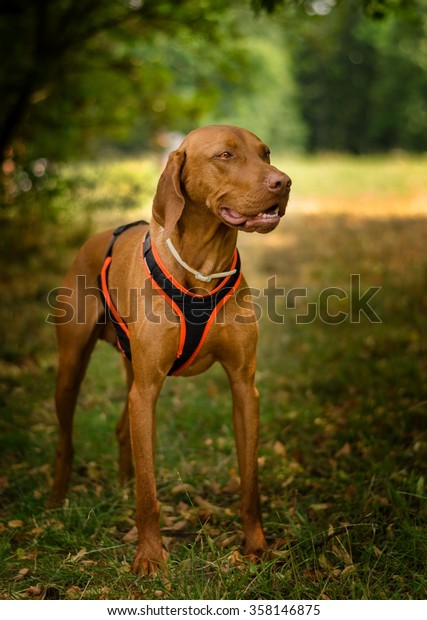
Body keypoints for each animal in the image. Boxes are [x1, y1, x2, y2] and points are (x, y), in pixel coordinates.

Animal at [50, 123, 290, 572]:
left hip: (131, 369)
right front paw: (148, 557)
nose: (283, 182)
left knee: (122, 430)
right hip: (71, 368)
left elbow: (250, 482)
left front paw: (256, 546)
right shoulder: (146, 392)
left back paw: (120, 488)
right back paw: (57, 501)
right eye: (225, 155)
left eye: (266, 153)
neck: (203, 269)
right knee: (66, 439)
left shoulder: (244, 386)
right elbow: (149, 493)